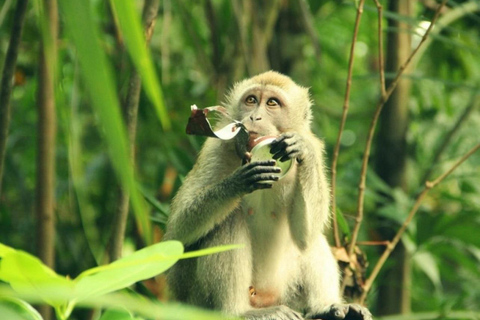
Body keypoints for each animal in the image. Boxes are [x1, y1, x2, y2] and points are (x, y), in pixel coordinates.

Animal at [164, 72, 372, 320]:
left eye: (272, 103)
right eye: (251, 100)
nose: (255, 116)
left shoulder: (312, 142)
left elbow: (306, 234)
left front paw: (301, 149)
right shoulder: (215, 149)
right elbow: (178, 231)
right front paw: (239, 182)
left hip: (287, 292)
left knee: (312, 239)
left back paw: (327, 307)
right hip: (196, 300)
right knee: (227, 222)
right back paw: (239, 312)